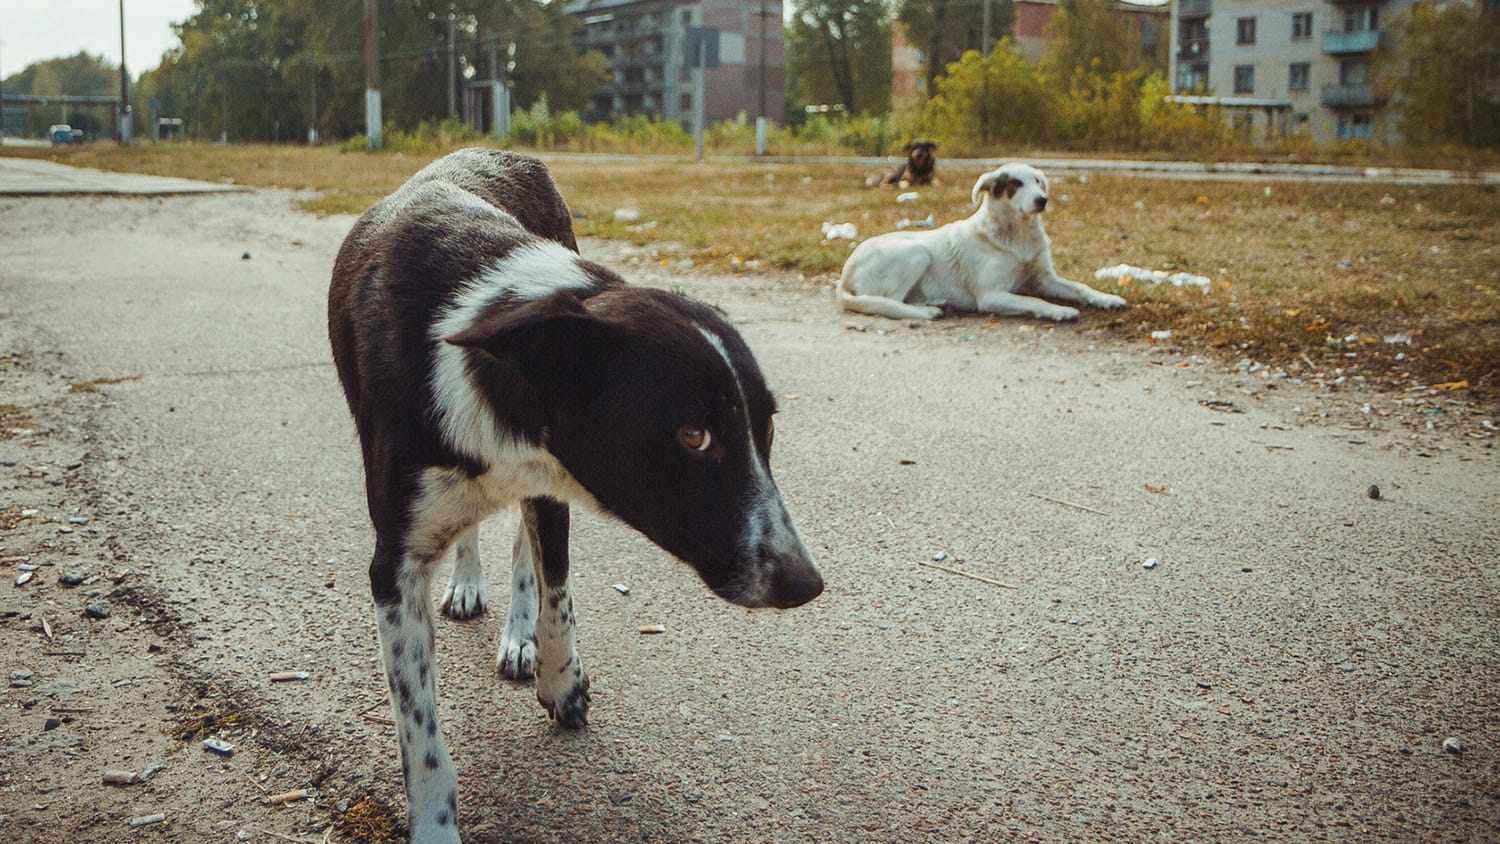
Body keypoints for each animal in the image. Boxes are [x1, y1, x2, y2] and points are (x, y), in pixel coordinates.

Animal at [328, 148, 828, 839]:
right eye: (694, 436)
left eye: (768, 426)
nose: (806, 583)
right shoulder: (393, 565)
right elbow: (420, 735)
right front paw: (434, 823)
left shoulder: (550, 482)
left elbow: (556, 594)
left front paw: (559, 678)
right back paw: (467, 582)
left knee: (523, 550)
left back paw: (519, 636)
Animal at [840, 163, 1122, 322]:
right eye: (1015, 183)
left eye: (1038, 181)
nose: (1043, 200)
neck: (1017, 233)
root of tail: (845, 271)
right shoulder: (991, 295)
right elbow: (1033, 301)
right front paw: (1058, 311)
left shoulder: (1043, 278)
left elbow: (1081, 287)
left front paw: (1107, 298)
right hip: (916, 252)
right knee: (890, 302)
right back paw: (928, 312)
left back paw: (938, 302)